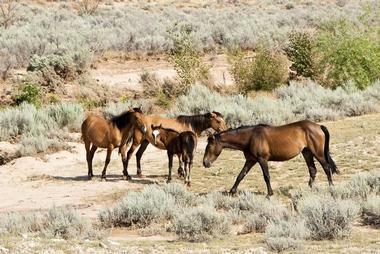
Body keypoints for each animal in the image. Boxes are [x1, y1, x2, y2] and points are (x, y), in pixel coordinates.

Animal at [202, 121, 338, 198]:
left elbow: (266, 176)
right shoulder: (251, 160)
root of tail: (318, 126)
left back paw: (331, 188)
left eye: (209, 146)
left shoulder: (262, 160)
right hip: (307, 153)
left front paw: (269, 194)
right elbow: (241, 175)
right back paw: (308, 190)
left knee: (326, 168)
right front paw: (232, 191)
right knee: (313, 170)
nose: (205, 163)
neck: (250, 137)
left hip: (318, 153)